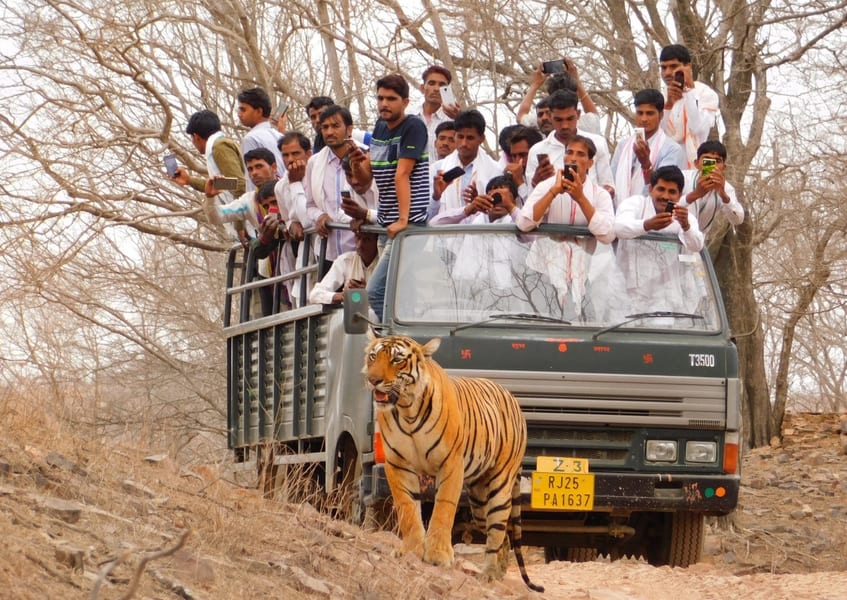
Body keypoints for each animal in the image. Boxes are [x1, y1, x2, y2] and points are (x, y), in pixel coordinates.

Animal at [364, 330, 544, 592]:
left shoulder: (450, 464)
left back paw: (489, 574)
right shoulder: (397, 463)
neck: (407, 409)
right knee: (503, 537)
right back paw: (499, 572)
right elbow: (407, 508)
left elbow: (443, 509)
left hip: (500, 487)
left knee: (497, 531)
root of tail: (511, 396)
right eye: (373, 356)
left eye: (397, 360)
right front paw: (411, 550)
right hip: (479, 502)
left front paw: (437, 556)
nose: (373, 379)